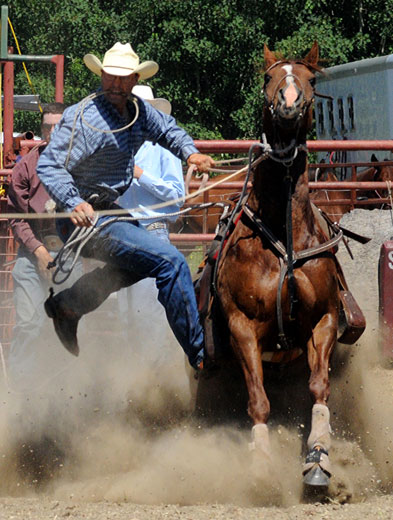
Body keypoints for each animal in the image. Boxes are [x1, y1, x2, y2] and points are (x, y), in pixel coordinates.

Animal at [214, 43, 344, 488]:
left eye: (311, 78)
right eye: (269, 78)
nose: (288, 102)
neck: (285, 238)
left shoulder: (324, 319)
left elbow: (319, 388)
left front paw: (319, 458)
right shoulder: (241, 327)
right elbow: (258, 402)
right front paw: (260, 467)